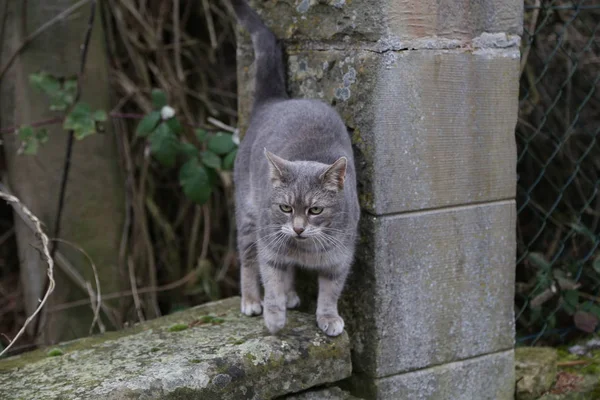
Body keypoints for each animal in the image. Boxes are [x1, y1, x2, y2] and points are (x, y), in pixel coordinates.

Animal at [232, 0, 358, 338]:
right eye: (285, 207)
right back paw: (252, 301)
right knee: (248, 261)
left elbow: (330, 291)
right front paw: (274, 316)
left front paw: (328, 317)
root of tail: (274, 102)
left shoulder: (339, 260)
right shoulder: (270, 248)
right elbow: (272, 280)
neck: (306, 249)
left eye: (315, 210)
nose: (298, 228)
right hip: (248, 220)